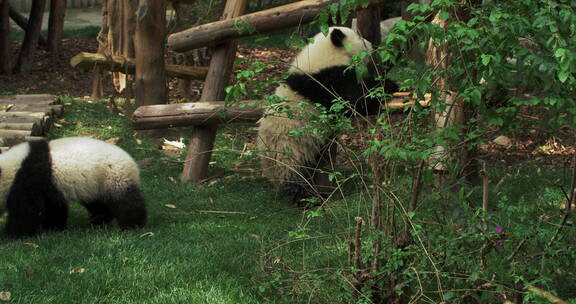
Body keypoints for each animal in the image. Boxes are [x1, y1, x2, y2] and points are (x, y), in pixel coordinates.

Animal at [0, 136, 147, 238]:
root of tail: (131, 162)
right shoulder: (50, 185)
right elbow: (54, 207)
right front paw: (53, 228)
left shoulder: (30, 178)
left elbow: (26, 211)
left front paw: (13, 235)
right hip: (95, 184)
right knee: (97, 203)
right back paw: (98, 221)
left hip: (114, 176)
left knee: (126, 202)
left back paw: (133, 225)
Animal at [258, 26, 398, 207]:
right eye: (360, 37)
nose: (372, 45)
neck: (323, 54)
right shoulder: (326, 82)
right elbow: (352, 99)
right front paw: (388, 86)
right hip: (289, 146)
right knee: (296, 174)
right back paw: (308, 199)